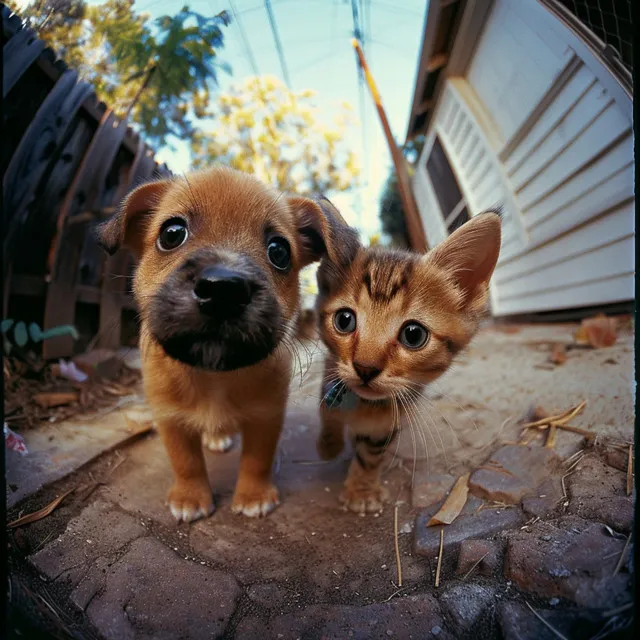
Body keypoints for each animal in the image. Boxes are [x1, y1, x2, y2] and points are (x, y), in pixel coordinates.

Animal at [100, 168, 352, 524]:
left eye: (279, 251)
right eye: (172, 233)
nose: (223, 290)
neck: (214, 374)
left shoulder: (266, 417)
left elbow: (257, 460)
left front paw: (253, 496)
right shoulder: (170, 419)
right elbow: (186, 462)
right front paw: (190, 497)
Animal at [316, 208, 500, 512]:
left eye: (413, 335)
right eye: (344, 320)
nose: (365, 368)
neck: (365, 405)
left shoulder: (387, 422)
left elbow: (371, 453)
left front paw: (361, 490)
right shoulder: (330, 373)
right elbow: (327, 410)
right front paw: (329, 445)